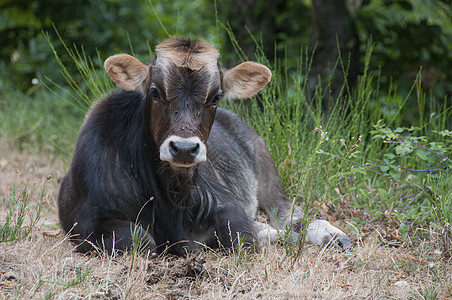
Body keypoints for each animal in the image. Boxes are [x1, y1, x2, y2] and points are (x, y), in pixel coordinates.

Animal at [58, 38, 352, 255]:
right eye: (155, 92)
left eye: (216, 97)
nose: (184, 148)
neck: (169, 200)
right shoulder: (85, 220)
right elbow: (138, 239)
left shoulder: (226, 202)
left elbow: (242, 236)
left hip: (268, 173)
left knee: (288, 214)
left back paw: (329, 233)